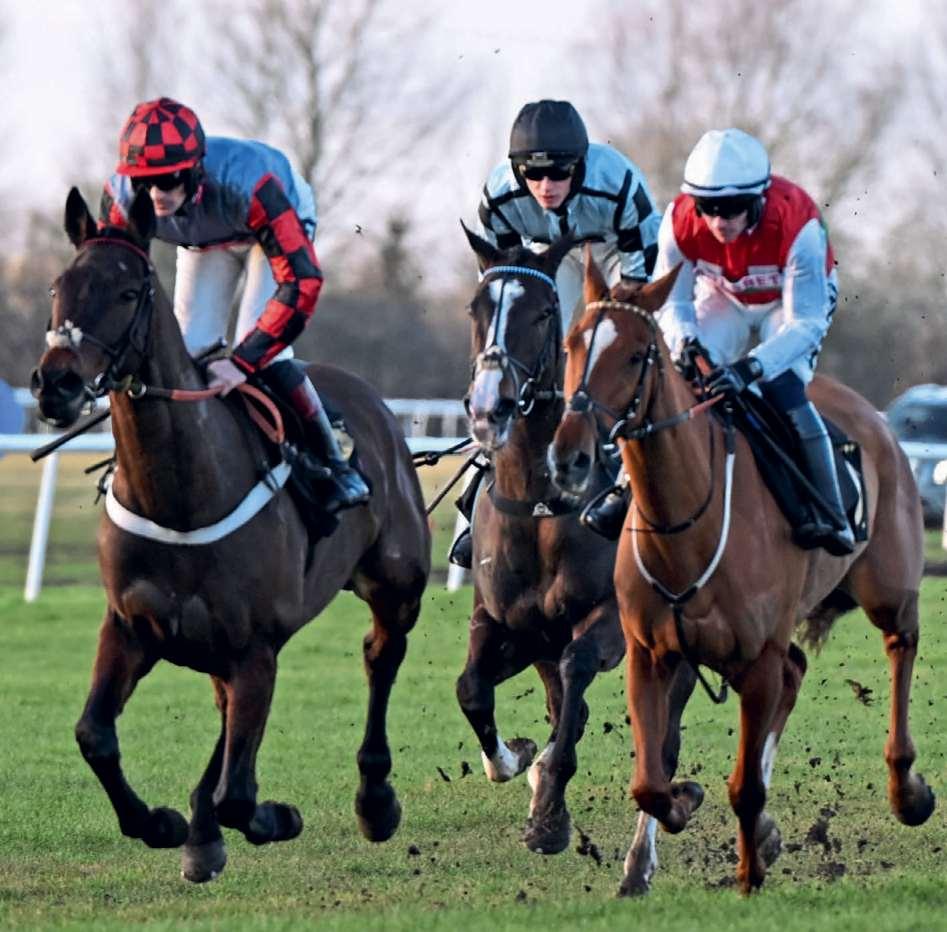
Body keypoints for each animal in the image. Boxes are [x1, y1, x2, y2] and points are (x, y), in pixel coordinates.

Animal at [31, 187, 431, 882]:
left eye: (128, 290)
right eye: (59, 285)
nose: (56, 383)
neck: (180, 496)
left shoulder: (256, 646)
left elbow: (240, 796)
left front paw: (276, 816)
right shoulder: (131, 626)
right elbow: (95, 737)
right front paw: (165, 825)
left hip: (396, 586)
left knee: (381, 657)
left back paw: (375, 802)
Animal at [456, 226, 696, 880]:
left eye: (541, 312)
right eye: (476, 308)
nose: (489, 405)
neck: (540, 501)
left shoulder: (608, 622)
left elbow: (578, 672)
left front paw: (546, 818)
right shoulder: (507, 623)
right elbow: (472, 688)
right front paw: (517, 761)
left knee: (664, 738)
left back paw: (646, 850)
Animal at [547, 259, 936, 894]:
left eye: (635, 355)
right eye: (572, 344)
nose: (569, 457)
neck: (685, 523)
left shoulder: (755, 662)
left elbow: (744, 785)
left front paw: (749, 875)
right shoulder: (649, 653)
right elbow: (650, 781)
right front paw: (667, 827)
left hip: (888, 588)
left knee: (901, 645)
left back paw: (908, 791)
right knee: (798, 671)